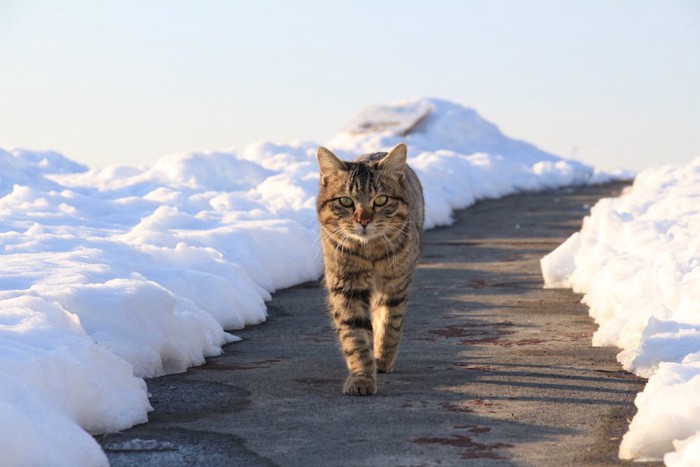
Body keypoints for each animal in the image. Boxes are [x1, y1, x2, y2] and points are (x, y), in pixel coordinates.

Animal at [314, 144, 424, 396]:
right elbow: (355, 335)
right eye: (346, 201)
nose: (363, 220)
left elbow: (389, 324)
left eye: (381, 200)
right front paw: (362, 377)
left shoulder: (396, 285)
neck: (370, 252)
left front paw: (381, 358)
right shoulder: (346, 287)